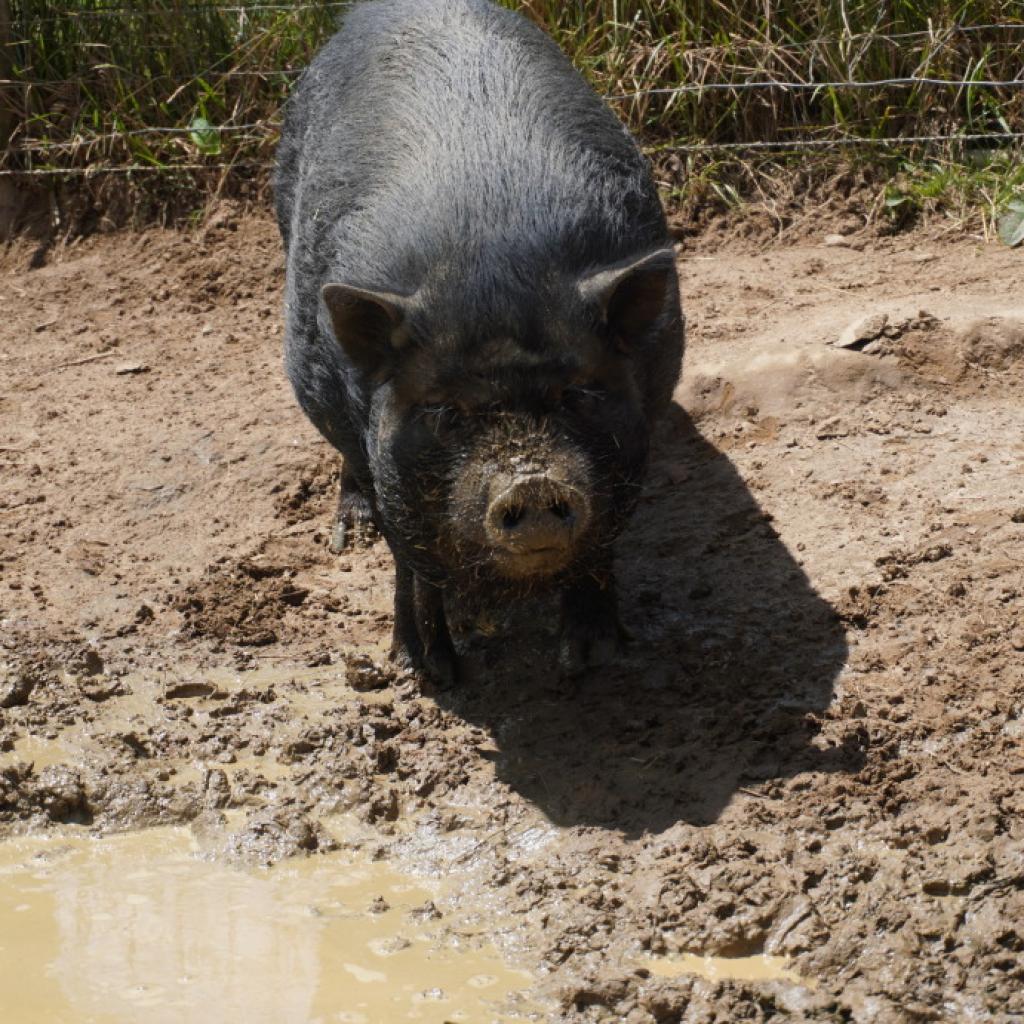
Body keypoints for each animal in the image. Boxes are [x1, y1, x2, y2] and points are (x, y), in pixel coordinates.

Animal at [274, 0, 684, 686]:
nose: (532, 483)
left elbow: (602, 549)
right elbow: (410, 555)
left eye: (578, 393)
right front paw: (424, 672)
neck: (492, 263)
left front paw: (592, 658)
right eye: (445, 410)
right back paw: (350, 537)